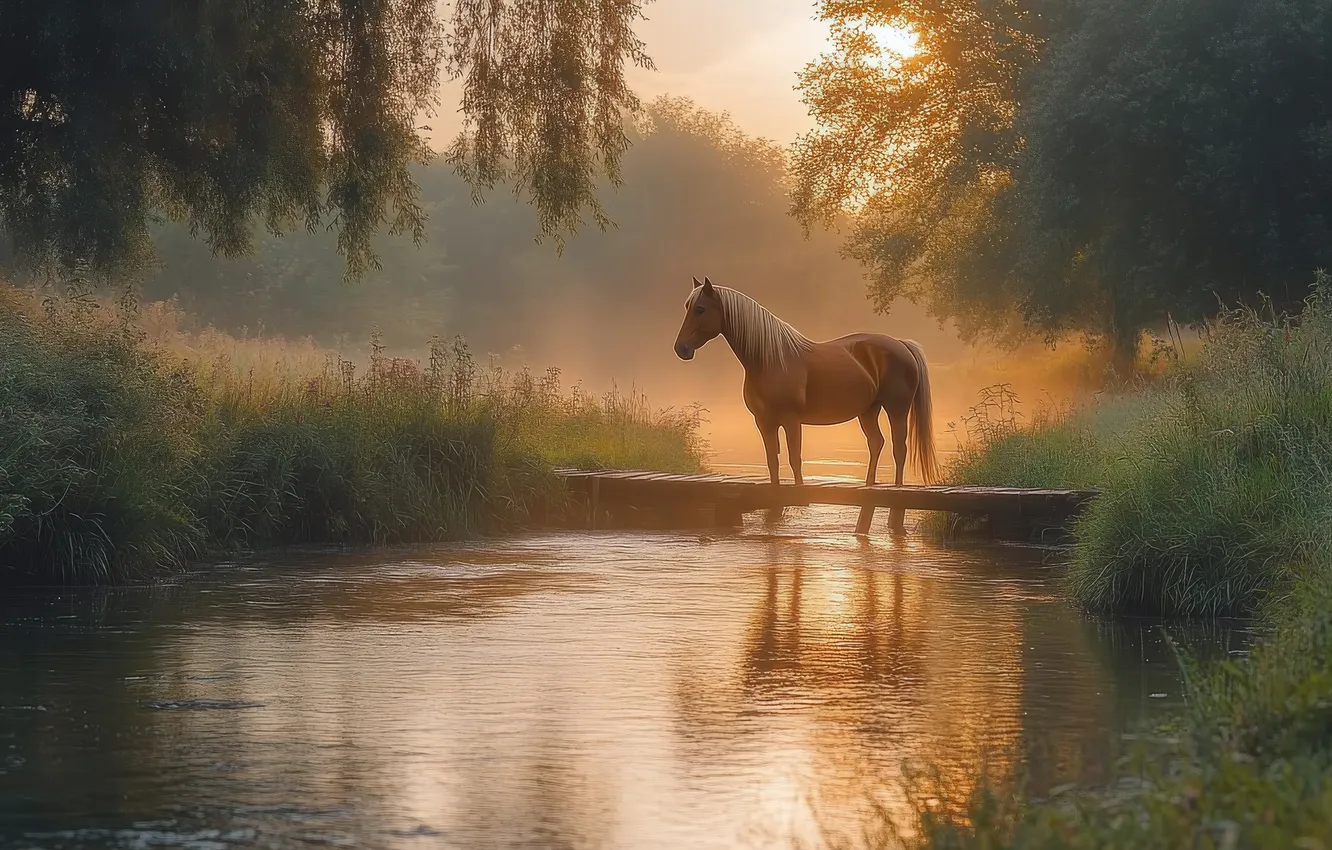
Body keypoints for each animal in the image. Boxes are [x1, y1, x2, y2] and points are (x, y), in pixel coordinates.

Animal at [673, 276, 939, 532]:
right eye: (687, 307)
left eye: (700, 309)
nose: (681, 349)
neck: (770, 359)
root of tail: (901, 344)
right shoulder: (764, 422)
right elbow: (773, 461)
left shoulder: (791, 420)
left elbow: (794, 459)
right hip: (868, 411)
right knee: (877, 443)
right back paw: (869, 487)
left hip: (897, 410)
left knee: (899, 450)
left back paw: (895, 511)